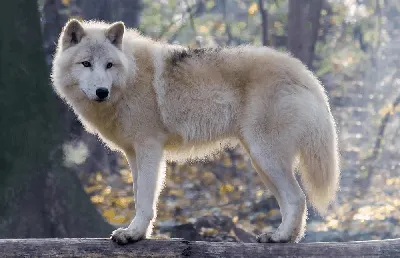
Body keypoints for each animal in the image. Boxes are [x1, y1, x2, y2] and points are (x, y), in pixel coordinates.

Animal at [52, 19, 340, 244]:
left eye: (109, 65)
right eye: (86, 64)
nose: (102, 91)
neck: (131, 76)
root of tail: (304, 72)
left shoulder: (149, 149)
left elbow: (144, 199)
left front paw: (133, 235)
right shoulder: (133, 154)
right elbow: (137, 195)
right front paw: (139, 233)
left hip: (266, 157)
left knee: (298, 198)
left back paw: (281, 238)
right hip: (261, 162)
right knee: (292, 201)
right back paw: (284, 237)